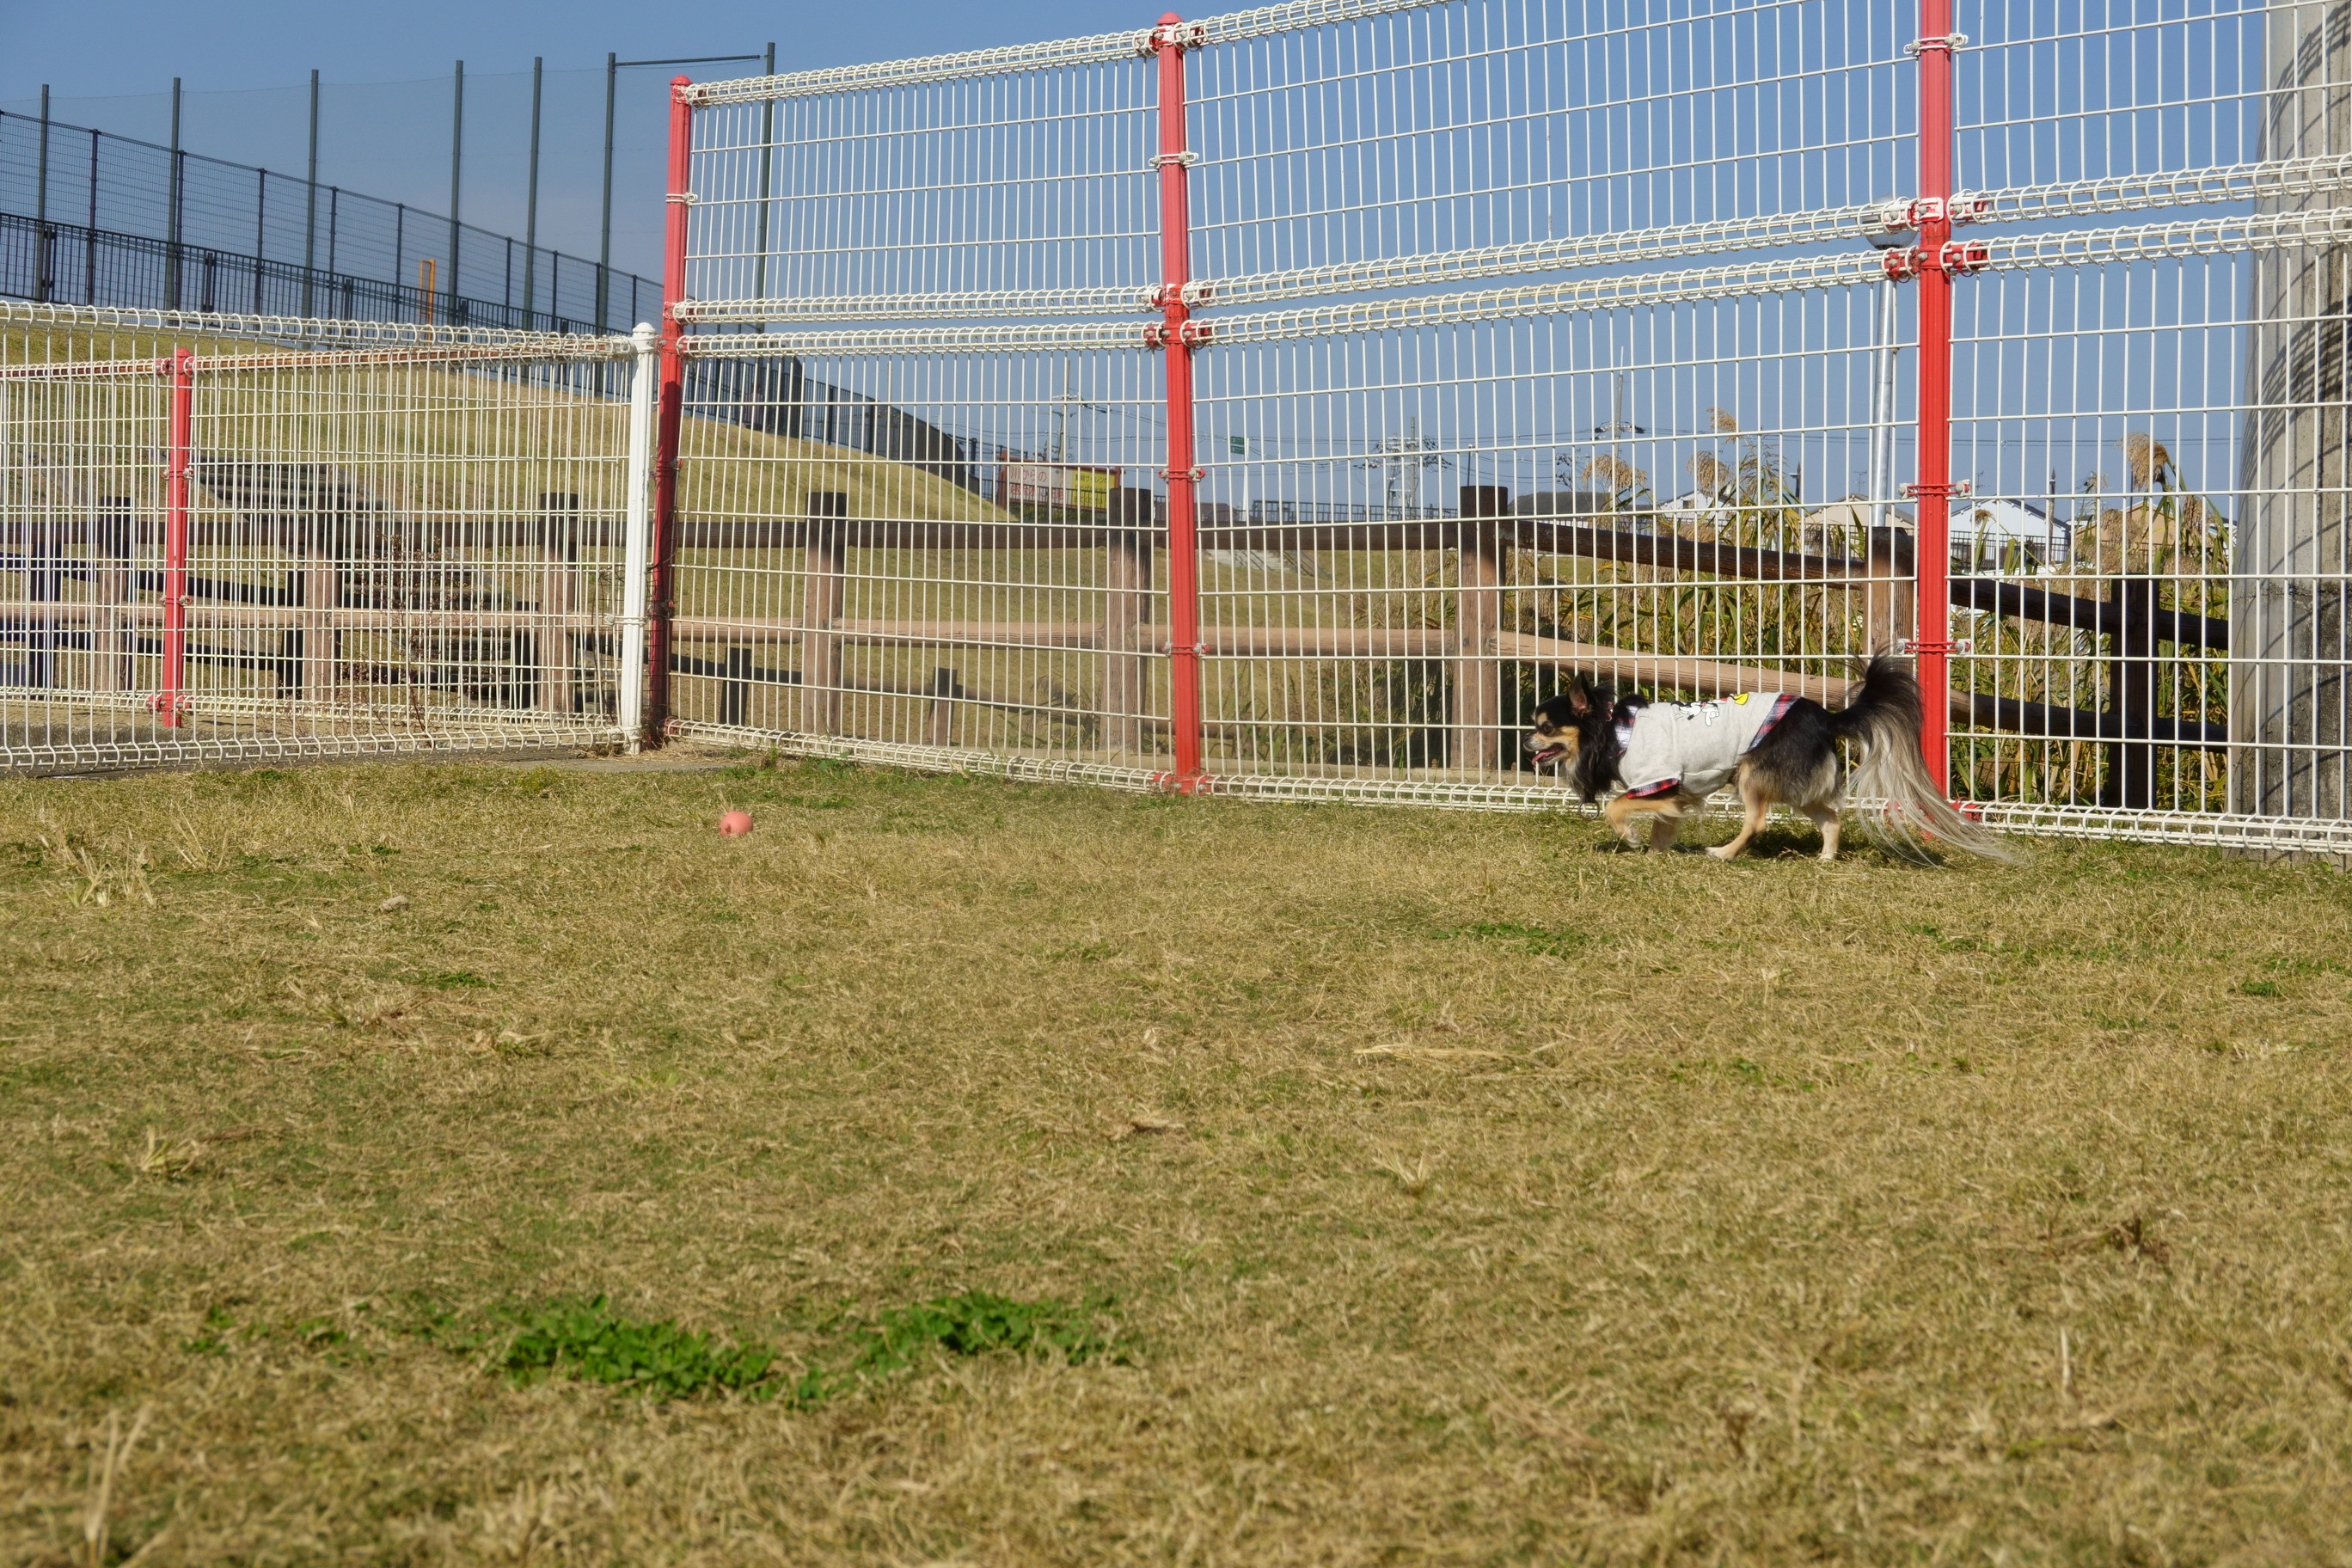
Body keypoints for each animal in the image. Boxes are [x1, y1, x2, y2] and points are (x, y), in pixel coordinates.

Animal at [1523, 658, 2022, 865]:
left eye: (1545, 727)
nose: (1527, 743)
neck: (1613, 729)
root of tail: (1826, 717)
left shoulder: (1657, 783)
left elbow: (1617, 805)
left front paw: (1628, 838)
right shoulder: (1670, 792)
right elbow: (1665, 826)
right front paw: (1653, 856)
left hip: (1752, 772)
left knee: (1757, 821)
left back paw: (1724, 853)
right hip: (1798, 784)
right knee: (1830, 815)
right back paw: (1826, 857)